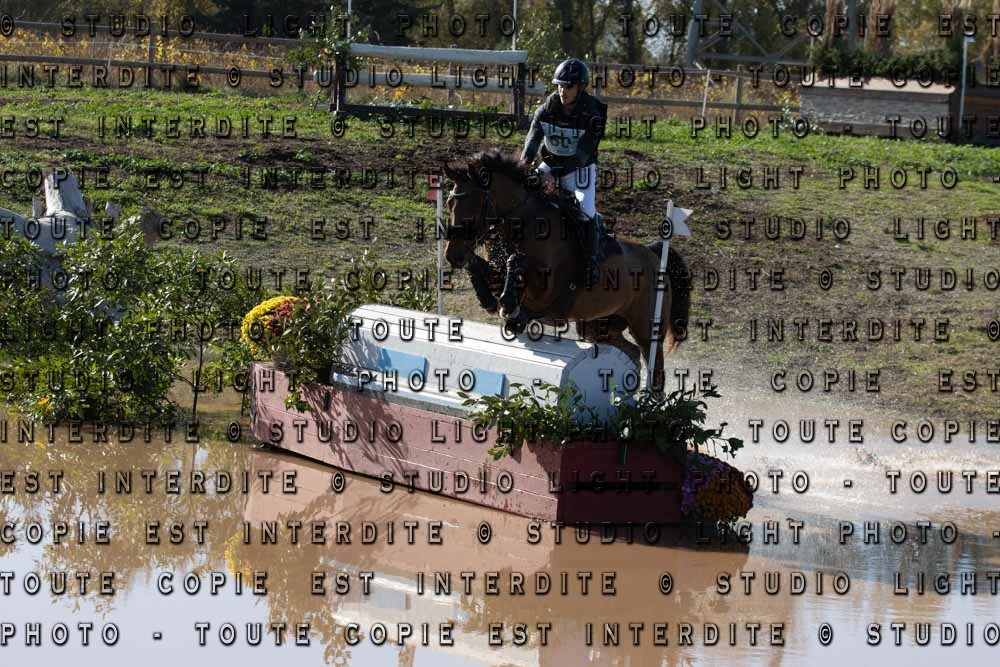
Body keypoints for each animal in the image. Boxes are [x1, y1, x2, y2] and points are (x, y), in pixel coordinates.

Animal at [442, 149, 691, 389]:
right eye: (449, 203)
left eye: (475, 203)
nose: (453, 255)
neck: (527, 225)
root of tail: (653, 254)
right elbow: (481, 266)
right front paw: (488, 299)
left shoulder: (544, 293)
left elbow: (516, 262)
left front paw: (510, 307)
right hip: (597, 325)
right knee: (630, 352)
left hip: (646, 328)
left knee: (654, 366)